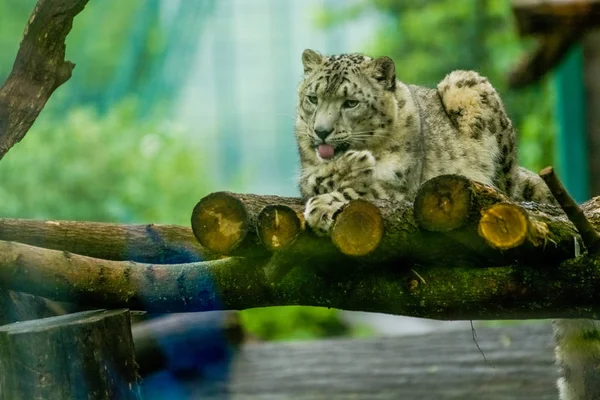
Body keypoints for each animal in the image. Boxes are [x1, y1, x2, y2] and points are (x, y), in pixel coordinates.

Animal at [294, 49, 600, 400]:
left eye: (351, 103)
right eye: (313, 98)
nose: (321, 131)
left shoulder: (400, 190)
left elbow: (365, 191)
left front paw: (329, 201)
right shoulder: (307, 174)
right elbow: (315, 179)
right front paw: (343, 171)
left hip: (470, 91)